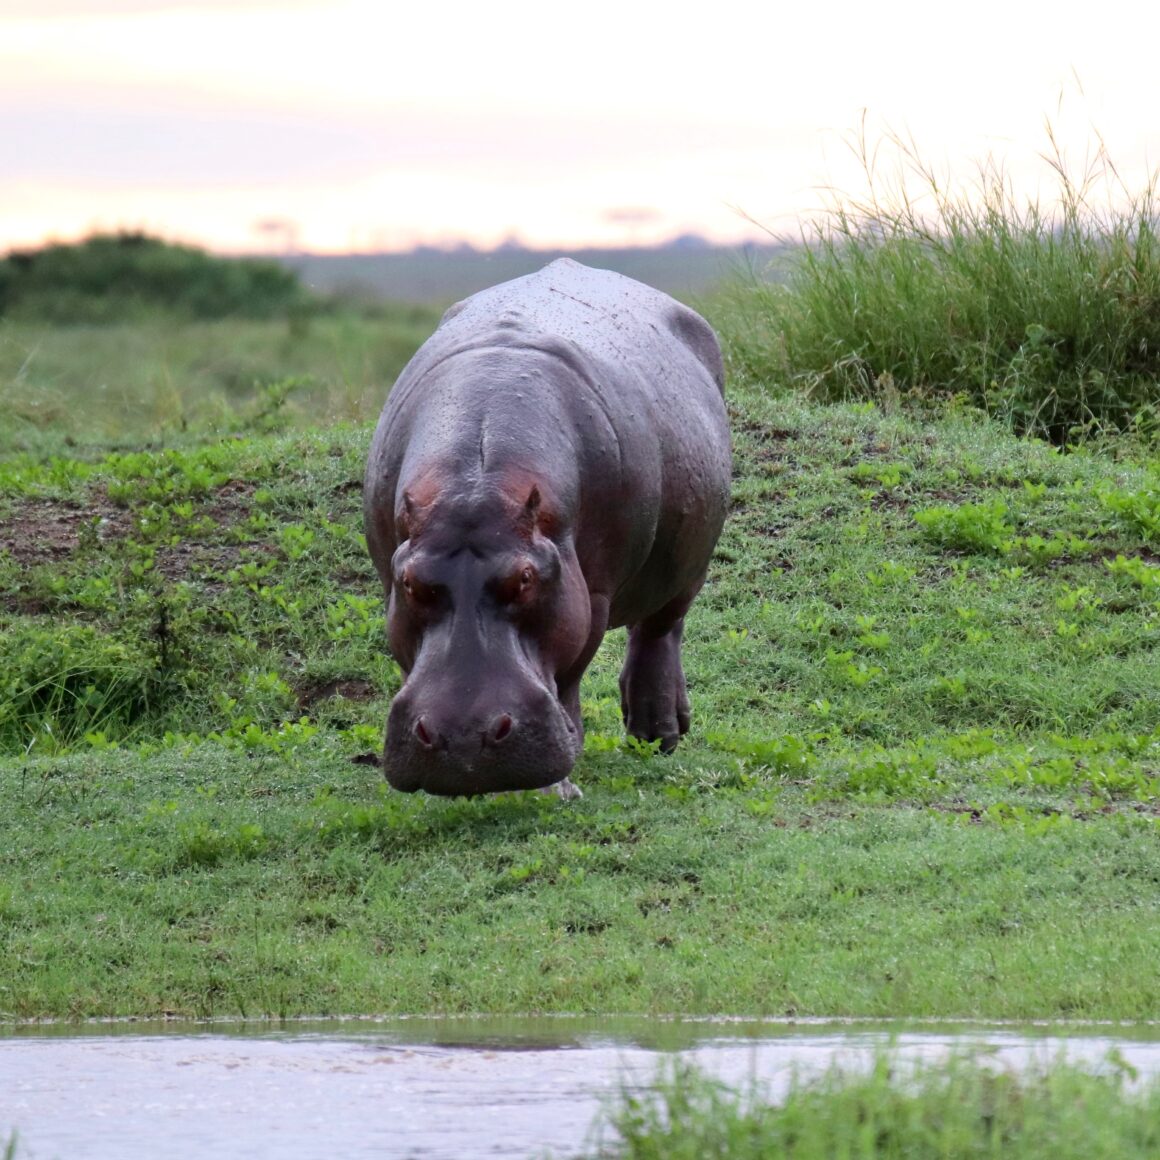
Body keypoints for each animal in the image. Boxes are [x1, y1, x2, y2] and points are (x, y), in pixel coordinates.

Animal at [363, 258, 731, 797]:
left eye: (525, 578)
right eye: (410, 583)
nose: (463, 738)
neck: (475, 481)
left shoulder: (590, 596)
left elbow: (570, 677)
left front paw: (558, 789)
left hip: (689, 562)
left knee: (660, 628)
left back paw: (656, 734)